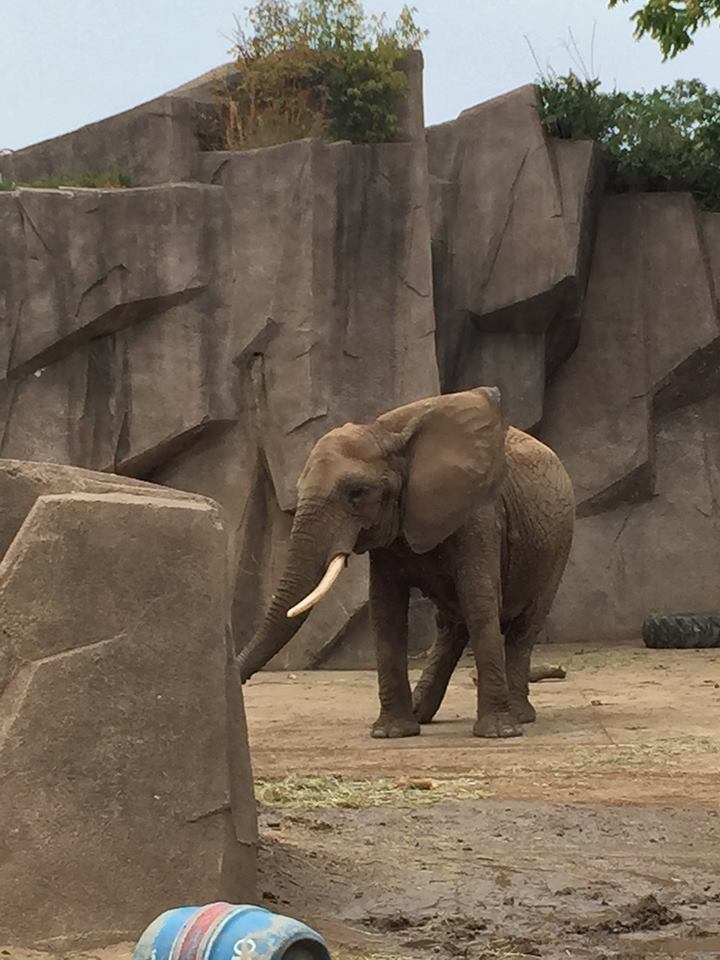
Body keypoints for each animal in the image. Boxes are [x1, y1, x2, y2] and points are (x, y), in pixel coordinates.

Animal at [238, 387, 575, 739]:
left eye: (357, 493)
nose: (240, 681)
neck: (388, 435)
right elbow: (386, 609)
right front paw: (391, 733)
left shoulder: (479, 516)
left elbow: (480, 601)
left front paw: (498, 733)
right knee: (452, 625)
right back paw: (420, 712)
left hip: (559, 544)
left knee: (523, 626)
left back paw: (520, 715)